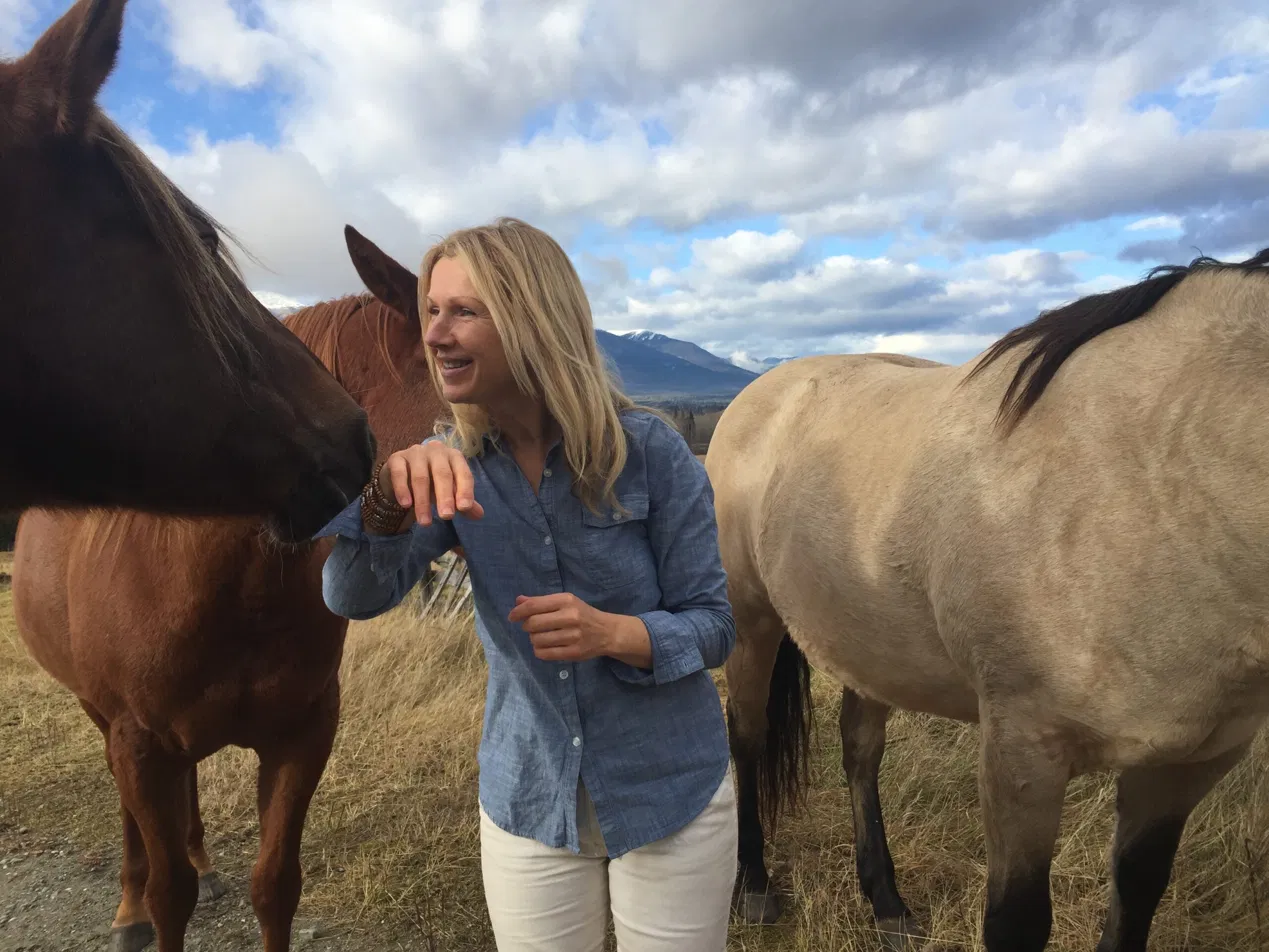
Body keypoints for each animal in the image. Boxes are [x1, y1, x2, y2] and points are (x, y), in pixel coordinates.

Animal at [11, 224, 446, 952]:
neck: (231, 586)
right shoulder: (138, 742)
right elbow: (170, 895)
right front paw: (146, 903)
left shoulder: (303, 734)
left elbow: (275, 887)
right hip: (102, 716)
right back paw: (127, 909)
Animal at [706, 247, 1269, 952]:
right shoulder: (1021, 754)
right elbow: (1016, 920)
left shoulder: (1189, 763)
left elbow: (1137, 891)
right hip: (751, 623)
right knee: (747, 738)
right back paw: (751, 884)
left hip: (867, 644)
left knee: (860, 752)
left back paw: (886, 902)